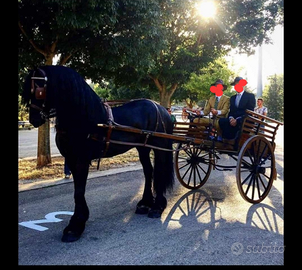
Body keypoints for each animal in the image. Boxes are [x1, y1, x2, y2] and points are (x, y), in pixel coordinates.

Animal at [23, 66, 175, 243]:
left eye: (39, 90)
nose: (33, 120)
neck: (83, 120)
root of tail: (162, 109)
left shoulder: (81, 160)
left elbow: (79, 190)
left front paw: (75, 226)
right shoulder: (71, 159)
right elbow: (77, 190)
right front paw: (78, 220)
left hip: (159, 146)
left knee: (159, 172)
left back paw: (157, 206)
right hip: (142, 148)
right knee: (148, 171)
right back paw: (145, 203)